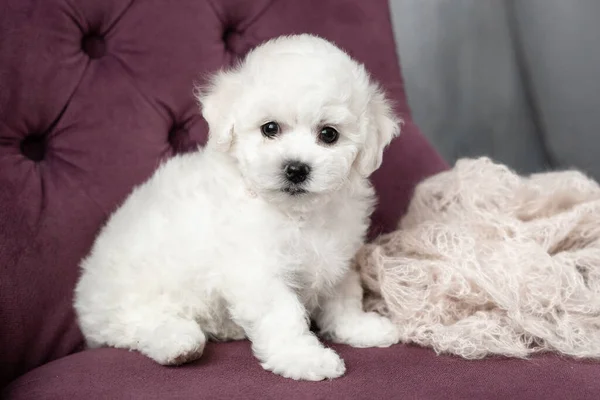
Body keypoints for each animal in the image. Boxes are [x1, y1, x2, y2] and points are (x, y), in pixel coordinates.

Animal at [76, 32, 404, 380]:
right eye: (270, 128)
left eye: (329, 134)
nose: (296, 168)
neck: (296, 212)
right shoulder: (257, 269)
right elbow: (283, 315)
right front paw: (303, 358)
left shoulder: (337, 257)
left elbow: (343, 297)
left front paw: (360, 327)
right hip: (134, 295)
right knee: (138, 325)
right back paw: (178, 343)